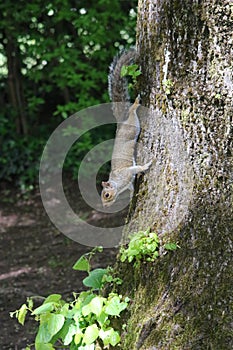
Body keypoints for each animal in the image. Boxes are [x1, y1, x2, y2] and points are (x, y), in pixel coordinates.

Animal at [101, 49, 152, 208]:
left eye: (106, 194)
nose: (105, 206)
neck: (118, 184)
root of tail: (121, 123)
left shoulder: (127, 173)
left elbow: (137, 169)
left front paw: (146, 165)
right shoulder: (128, 183)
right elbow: (131, 189)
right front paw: (130, 199)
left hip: (133, 126)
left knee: (132, 112)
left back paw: (135, 104)